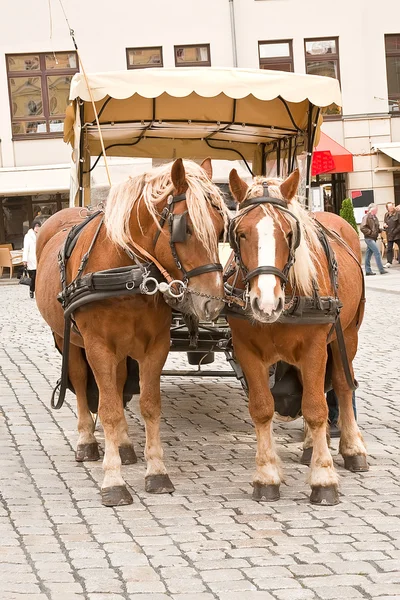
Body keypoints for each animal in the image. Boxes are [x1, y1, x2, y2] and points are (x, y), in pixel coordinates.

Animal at [36, 158, 230, 506]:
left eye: (222, 227)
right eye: (185, 228)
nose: (212, 303)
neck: (127, 274)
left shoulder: (155, 346)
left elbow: (149, 404)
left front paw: (156, 472)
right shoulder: (98, 346)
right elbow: (109, 409)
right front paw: (113, 481)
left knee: (116, 382)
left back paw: (125, 446)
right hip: (67, 338)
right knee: (83, 383)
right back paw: (87, 441)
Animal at [227, 169, 368, 506]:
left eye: (289, 234)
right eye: (241, 234)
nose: (266, 302)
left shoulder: (315, 347)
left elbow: (316, 409)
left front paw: (323, 479)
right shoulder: (247, 350)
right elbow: (262, 408)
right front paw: (267, 476)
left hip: (347, 336)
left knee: (341, 386)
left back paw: (352, 448)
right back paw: (310, 447)